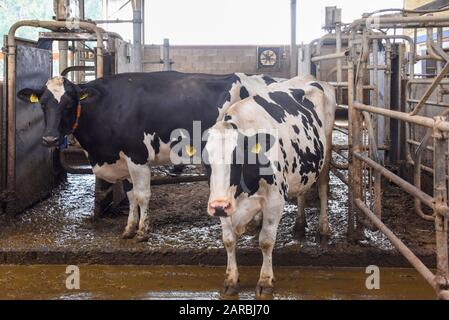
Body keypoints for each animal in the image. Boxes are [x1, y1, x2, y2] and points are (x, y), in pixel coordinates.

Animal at [16, 71, 276, 241]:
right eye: (42, 105)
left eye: (69, 104)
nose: (50, 139)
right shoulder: (123, 162)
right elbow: (131, 196)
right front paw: (129, 228)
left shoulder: (137, 157)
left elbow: (142, 195)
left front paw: (142, 231)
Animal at [205, 77, 334, 298]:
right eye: (206, 161)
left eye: (237, 159)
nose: (218, 205)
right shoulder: (224, 203)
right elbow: (229, 240)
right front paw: (231, 280)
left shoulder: (275, 200)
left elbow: (266, 241)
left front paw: (265, 281)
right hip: (300, 167)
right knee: (302, 192)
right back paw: (299, 226)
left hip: (325, 154)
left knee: (322, 188)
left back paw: (323, 229)